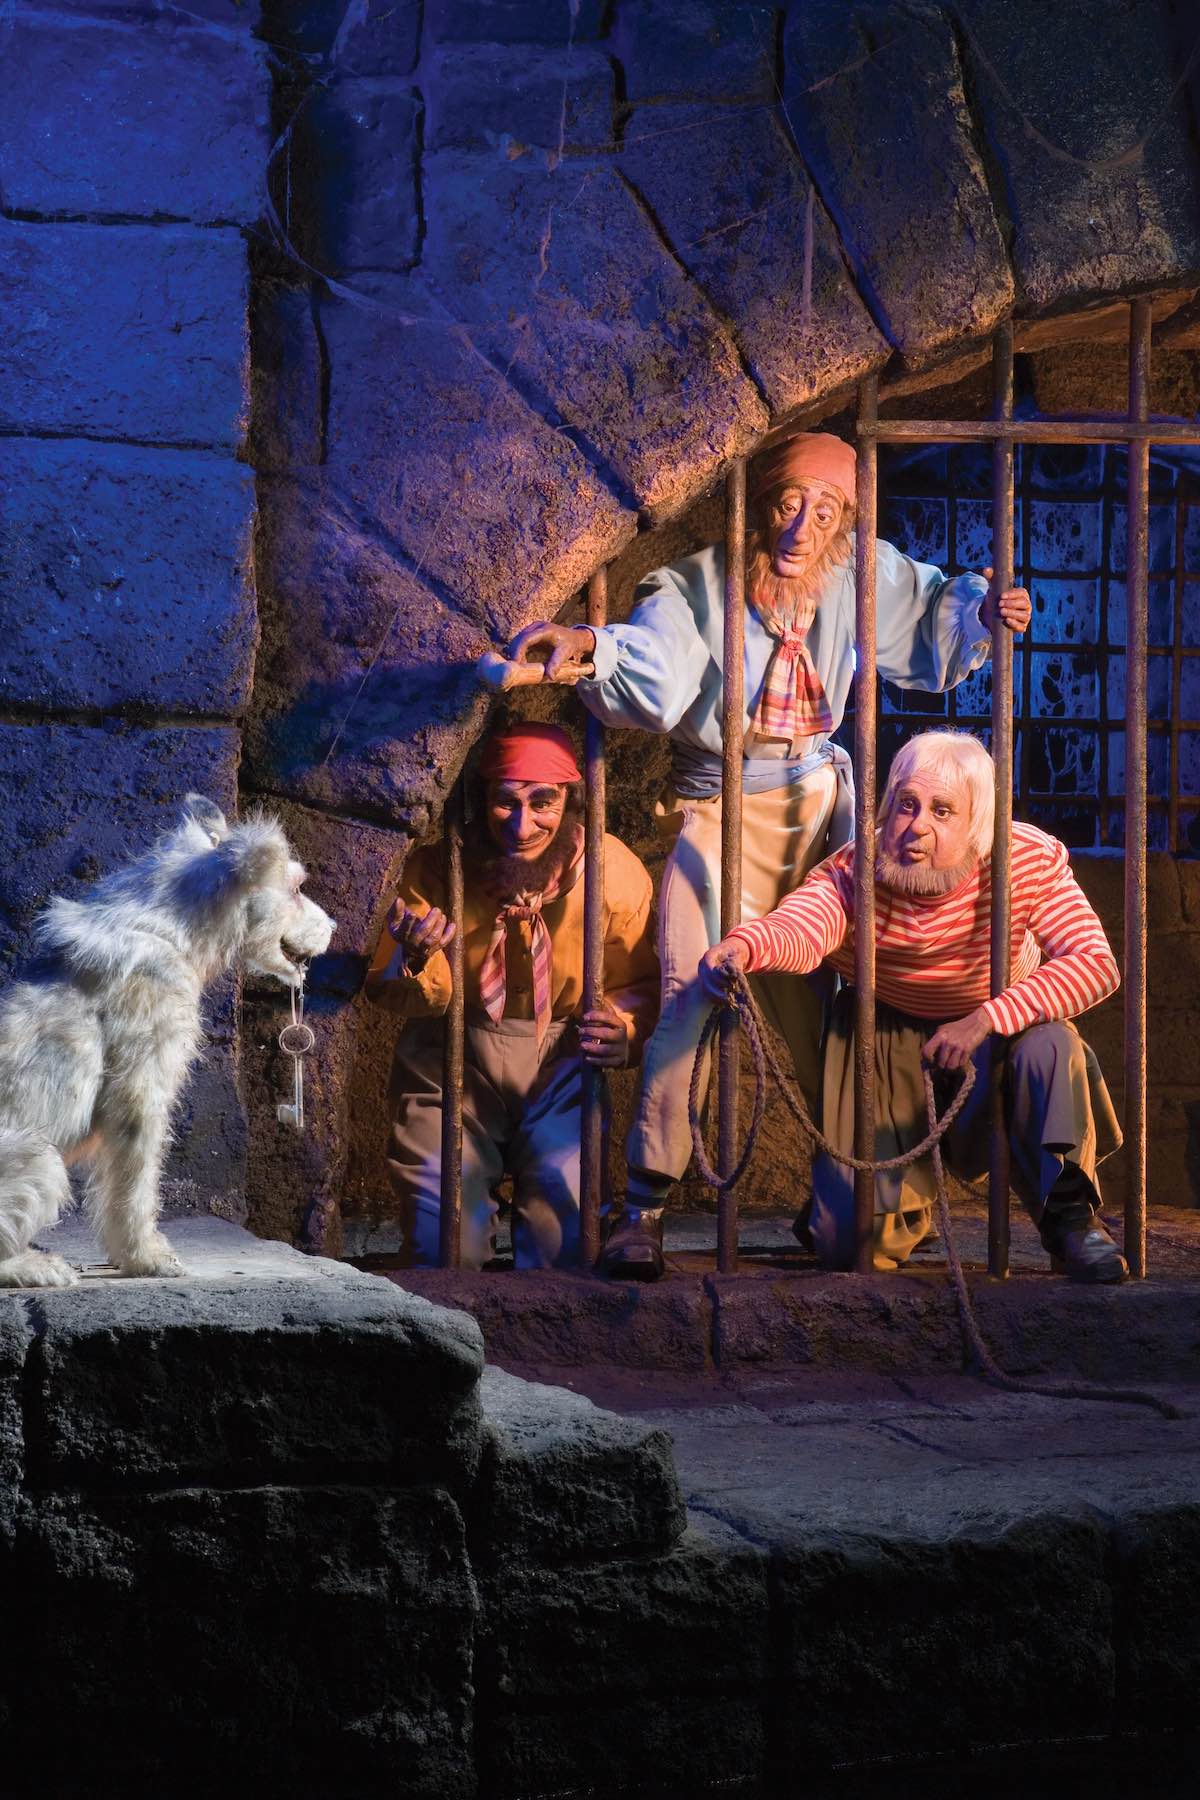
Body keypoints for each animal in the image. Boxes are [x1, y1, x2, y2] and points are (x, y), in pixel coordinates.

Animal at [0, 795, 336, 1288]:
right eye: (294, 888)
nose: (334, 926)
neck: (174, 929)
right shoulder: (141, 1091)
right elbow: (137, 1184)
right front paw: (148, 1258)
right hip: (40, 1160)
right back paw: (38, 1266)